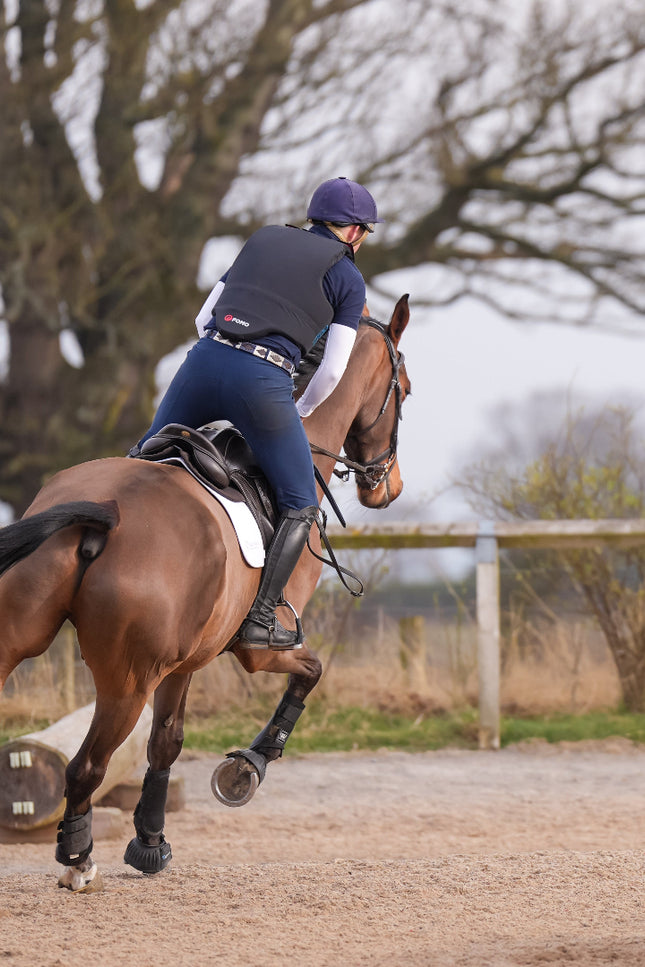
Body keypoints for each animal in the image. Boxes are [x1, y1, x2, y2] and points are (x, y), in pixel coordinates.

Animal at [0, 295, 410, 892]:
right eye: (406, 389)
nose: (388, 488)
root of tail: (105, 512)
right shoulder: (258, 651)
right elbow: (309, 675)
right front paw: (247, 768)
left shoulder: (183, 662)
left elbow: (167, 742)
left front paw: (150, 844)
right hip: (126, 682)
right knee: (87, 768)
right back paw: (78, 860)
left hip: (17, 641)